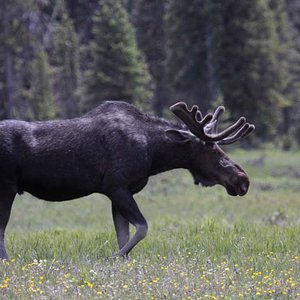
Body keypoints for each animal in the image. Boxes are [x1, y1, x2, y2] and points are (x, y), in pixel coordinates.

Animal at [0, 100, 254, 258]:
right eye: (210, 148)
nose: (242, 179)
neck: (154, 154)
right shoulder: (117, 187)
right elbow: (142, 228)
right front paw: (112, 257)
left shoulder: (119, 193)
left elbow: (124, 235)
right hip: (7, 187)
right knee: (1, 228)